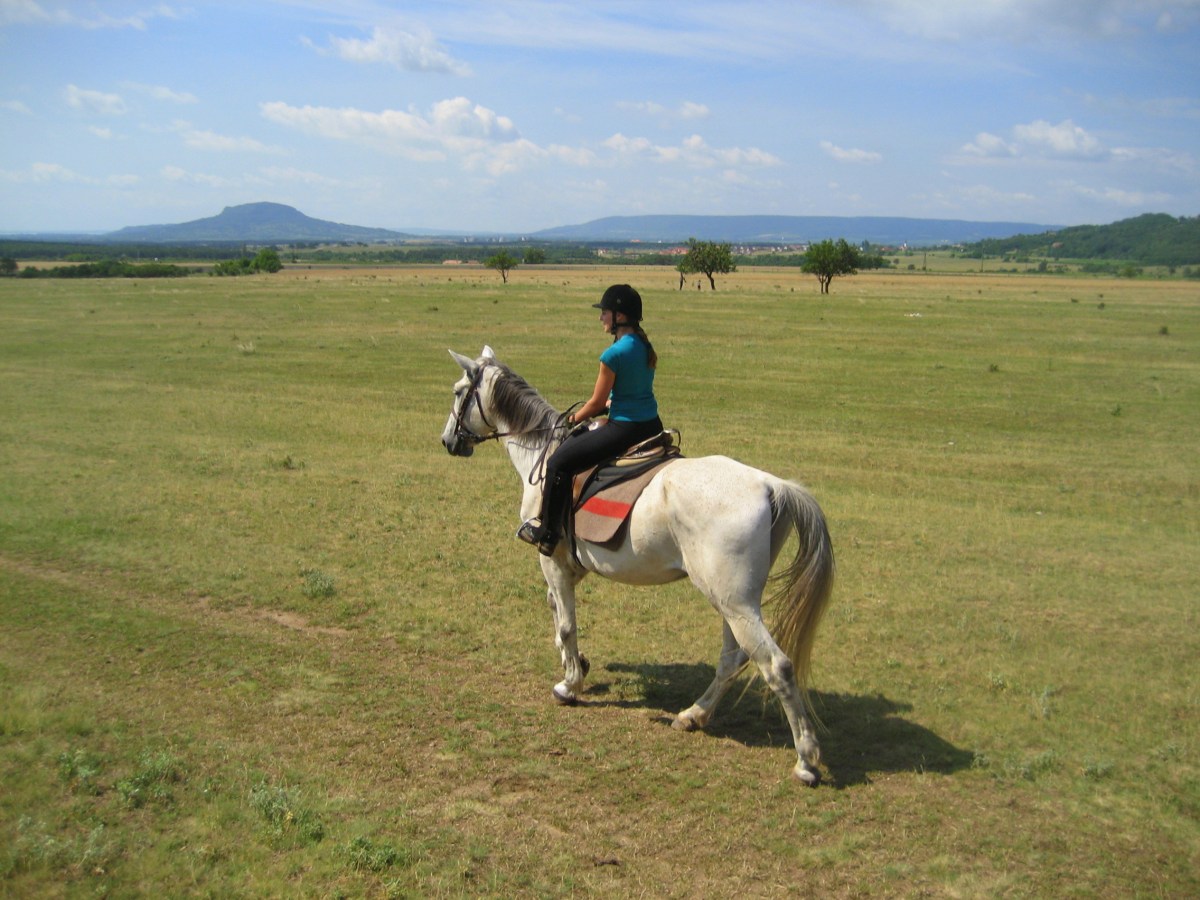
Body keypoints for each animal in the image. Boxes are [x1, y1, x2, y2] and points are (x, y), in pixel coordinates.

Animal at [441, 346, 836, 784]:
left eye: (458, 391)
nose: (448, 440)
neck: (542, 453)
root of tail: (770, 484)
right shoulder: (566, 565)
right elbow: (556, 611)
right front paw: (576, 662)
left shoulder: (553, 560)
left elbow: (566, 621)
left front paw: (569, 685)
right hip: (734, 602)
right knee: (733, 659)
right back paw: (693, 715)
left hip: (736, 605)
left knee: (777, 666)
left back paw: (806, 760)